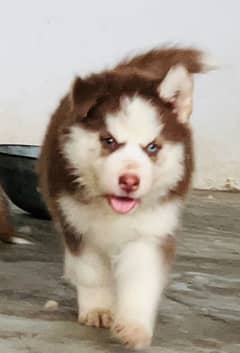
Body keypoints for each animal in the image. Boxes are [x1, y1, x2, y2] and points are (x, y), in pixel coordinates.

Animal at [39, 47, 216, 350]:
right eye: (109, 140)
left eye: (152, 147)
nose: (130, 181)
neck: (113, 211)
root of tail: (127, 69)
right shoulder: (77, 222)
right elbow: (91, 271)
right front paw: (98, 308)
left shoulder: (152, 230)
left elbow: (141, 280)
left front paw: (134, 327)